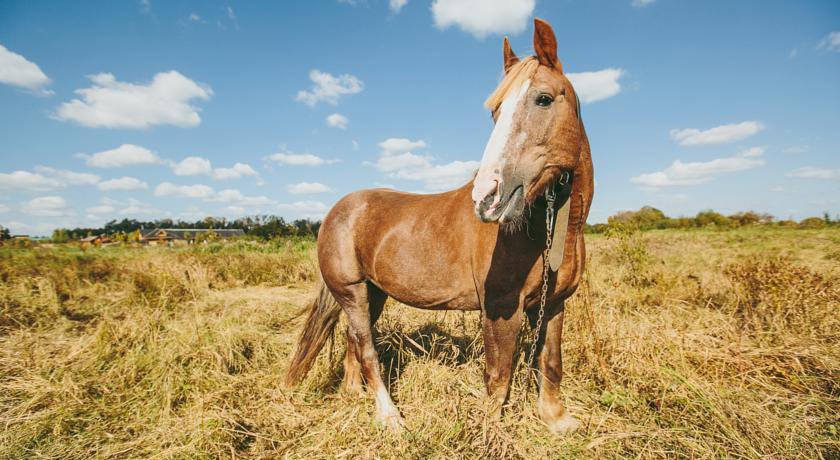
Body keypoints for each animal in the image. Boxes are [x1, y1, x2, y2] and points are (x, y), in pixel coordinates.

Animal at [288, 18, 596, 434]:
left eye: (544, 99)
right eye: (495, 113)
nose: (487, 197)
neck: (542, 232)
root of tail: (336, 211)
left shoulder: (554, 304)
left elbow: (550, 363)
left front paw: (557, 420)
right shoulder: (501, 308)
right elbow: (498, 378)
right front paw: (490, 433)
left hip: (373, 293)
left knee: (354, 342)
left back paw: (355, 395)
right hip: (351, 292)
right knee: (366, 348)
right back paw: (390, 418)